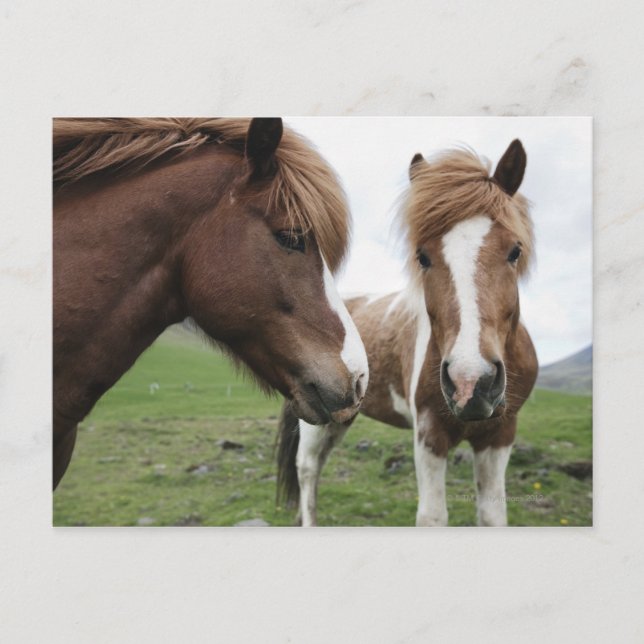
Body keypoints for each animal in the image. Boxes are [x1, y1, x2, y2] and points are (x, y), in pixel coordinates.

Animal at [277, 139, 538, 526]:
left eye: (515, 250)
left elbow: (492, 515)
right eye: (422, 257)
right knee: (307, 468)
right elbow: (432, 516)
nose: (470, 384)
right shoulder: (429, 434)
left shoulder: (499, 437)